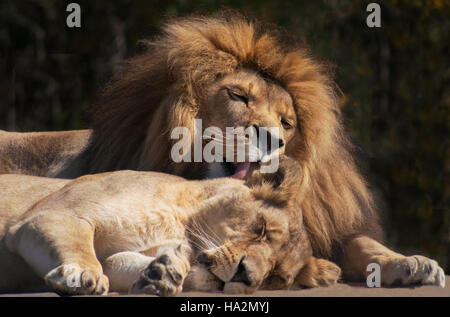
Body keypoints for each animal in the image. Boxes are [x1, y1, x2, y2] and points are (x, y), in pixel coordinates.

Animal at [0, 157, 340, 296]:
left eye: (275, 277)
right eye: (262, 229)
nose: (247, 276)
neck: (180, 222)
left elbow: (117, 262)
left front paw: (162, 273)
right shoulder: (53, 215)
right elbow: (81, 250)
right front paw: (82, 275)